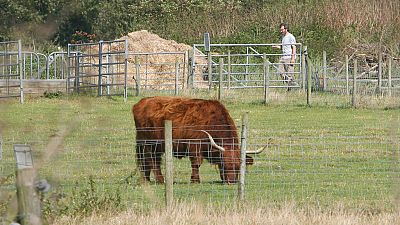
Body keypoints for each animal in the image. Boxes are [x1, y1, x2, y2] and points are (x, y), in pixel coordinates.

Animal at [131, 96, 264, 184]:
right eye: (224, 164)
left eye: (238, 166)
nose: (232, 182)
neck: (212, 122)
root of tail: (141, 102)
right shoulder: (194, 146)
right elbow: (196, 163)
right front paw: (195, 180)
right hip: (147, 144)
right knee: (151, 160)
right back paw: (159, 180)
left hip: (156, 146)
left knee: (150, 161)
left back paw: (147, 180)